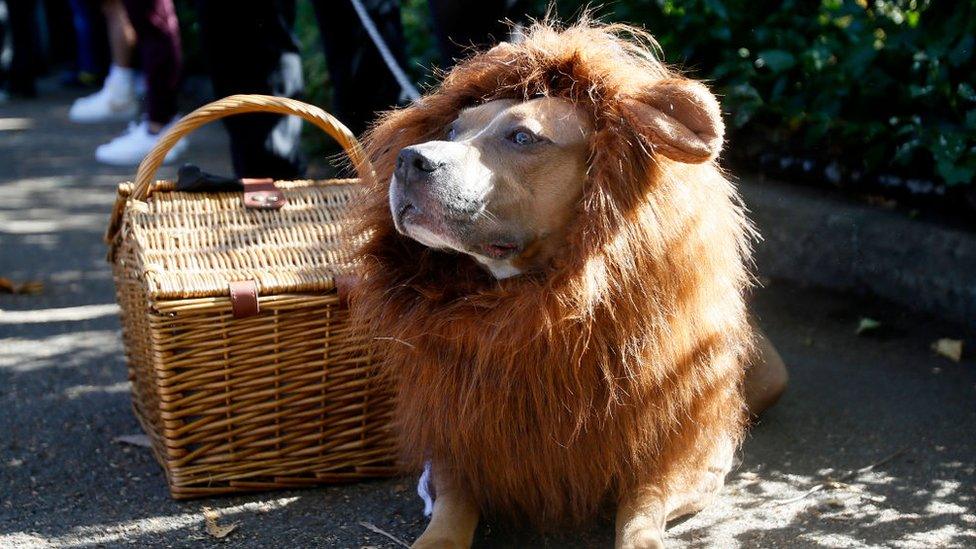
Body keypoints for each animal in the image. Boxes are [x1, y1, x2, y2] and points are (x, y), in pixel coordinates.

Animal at [350, 18, 784, 548]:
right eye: (452, 129)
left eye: (523, 137)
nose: (409, 159)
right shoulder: (461, 441)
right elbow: (451, 508)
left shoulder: (686, 458)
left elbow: (642, 508)